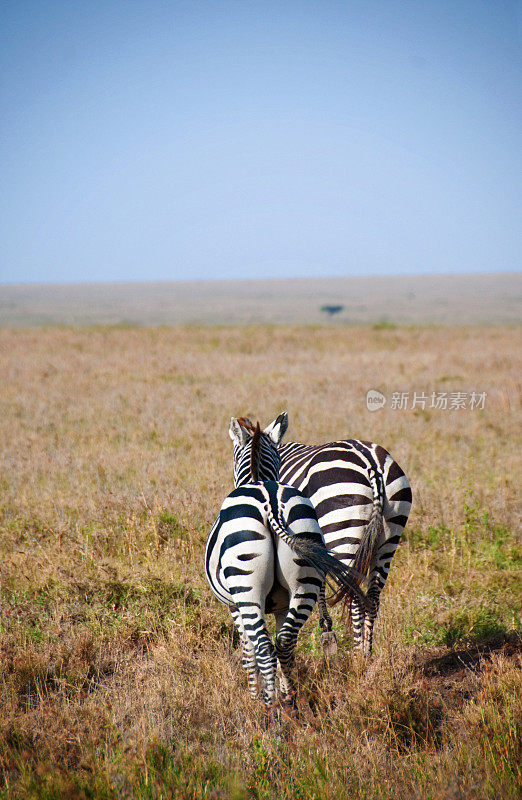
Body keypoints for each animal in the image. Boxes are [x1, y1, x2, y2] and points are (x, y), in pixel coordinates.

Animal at [203, 418, 366, 712]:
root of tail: (270, 501)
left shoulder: (233, 606)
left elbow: (247, 652)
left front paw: (253, 696)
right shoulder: (280, 606)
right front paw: (280, 688)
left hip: (247, 588)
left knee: (264, 647)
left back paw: (268, 707)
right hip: (305, 578)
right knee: (285, 642)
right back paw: (289, 700)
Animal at [250, 412, 408, 656]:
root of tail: (371, 463)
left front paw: (326, 630)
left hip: (342, 530)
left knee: (353, 593)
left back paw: (357, 655)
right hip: (389, 536)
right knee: (372, 597)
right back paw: (368, 654)